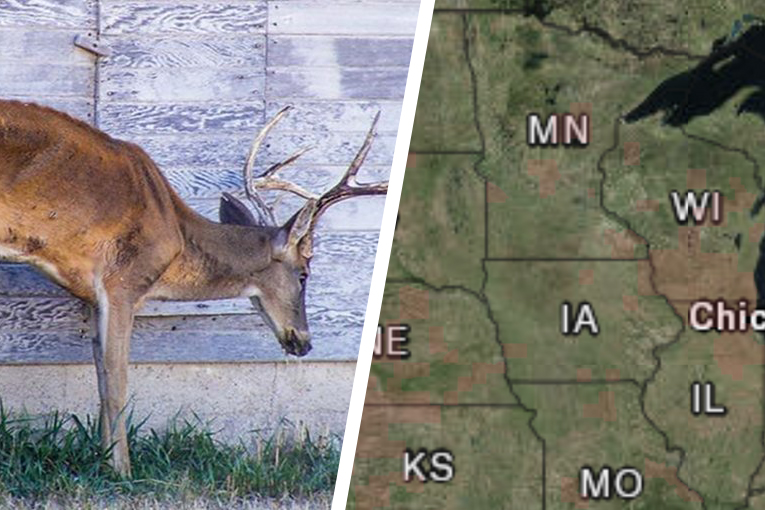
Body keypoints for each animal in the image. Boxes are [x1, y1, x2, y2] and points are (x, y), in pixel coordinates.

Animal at [0, 99, 387, 477]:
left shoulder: (94, 297)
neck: (176, 235)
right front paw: (123, 471)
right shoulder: (123, 282)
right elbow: (117, 380)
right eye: (304, 273)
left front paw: (103, 457)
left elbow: (100, 379)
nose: (304, 342)